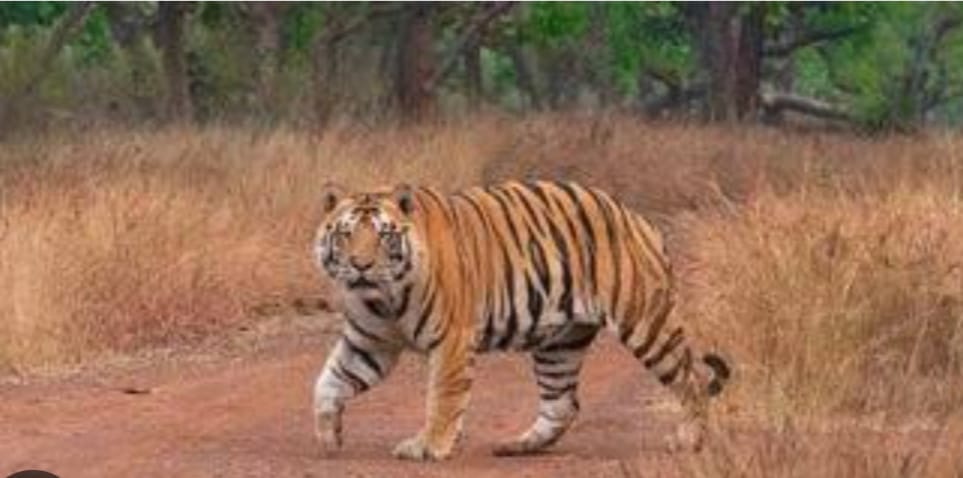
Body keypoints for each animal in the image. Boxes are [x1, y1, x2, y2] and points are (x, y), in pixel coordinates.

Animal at [311, 179, 730, 461]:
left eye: (383, 236)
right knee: (562, 404)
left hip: (646, 322)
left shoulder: (452, 339)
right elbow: (329, 383)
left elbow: (443, 396)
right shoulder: (369, 342)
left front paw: (430, 446)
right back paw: (518, 445)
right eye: (346, 234)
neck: (384, 299)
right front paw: (328, 434)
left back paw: (689, 441)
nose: (360, 265)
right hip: (560, 343)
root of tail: (639, 219)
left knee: (692, 378)